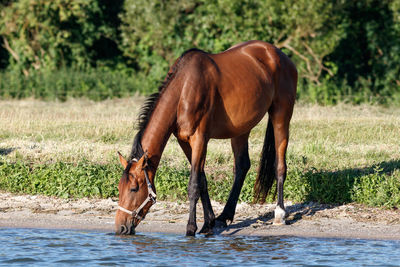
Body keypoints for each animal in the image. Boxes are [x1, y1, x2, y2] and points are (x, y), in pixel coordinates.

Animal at [115, 39, 296, 237]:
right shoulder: (184, 142)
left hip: (281, 115)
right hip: (241, 129)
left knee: (280, 165)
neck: (183, 89)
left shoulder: (200, 139)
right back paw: (224, 216)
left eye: (134, 188)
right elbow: (202, 179)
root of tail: (280, 55)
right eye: (119, 188)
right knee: (242, 166)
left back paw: (279, 214)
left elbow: (194, 184)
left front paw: (191, 228)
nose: (121, 227)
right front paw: (209, 222)